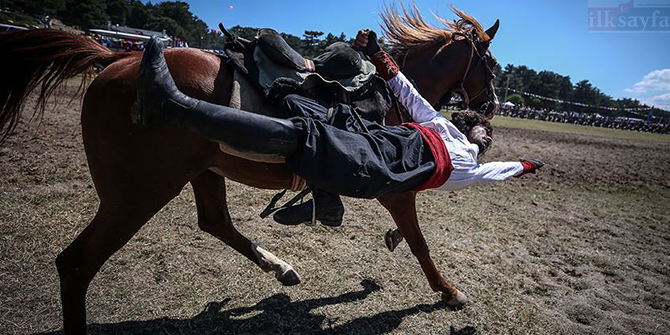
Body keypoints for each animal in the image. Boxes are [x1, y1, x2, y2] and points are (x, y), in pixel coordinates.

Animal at [0, 5, 498, 335]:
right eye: (491, 66)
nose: (491, 105)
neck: (388, 98)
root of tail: (117, 59)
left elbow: (410, 236)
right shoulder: (396, 187)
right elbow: (420, 242)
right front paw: (448, 291)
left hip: (199, 171)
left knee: (214, 221)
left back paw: (281, 267)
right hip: (137, 193)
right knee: (77, 263)